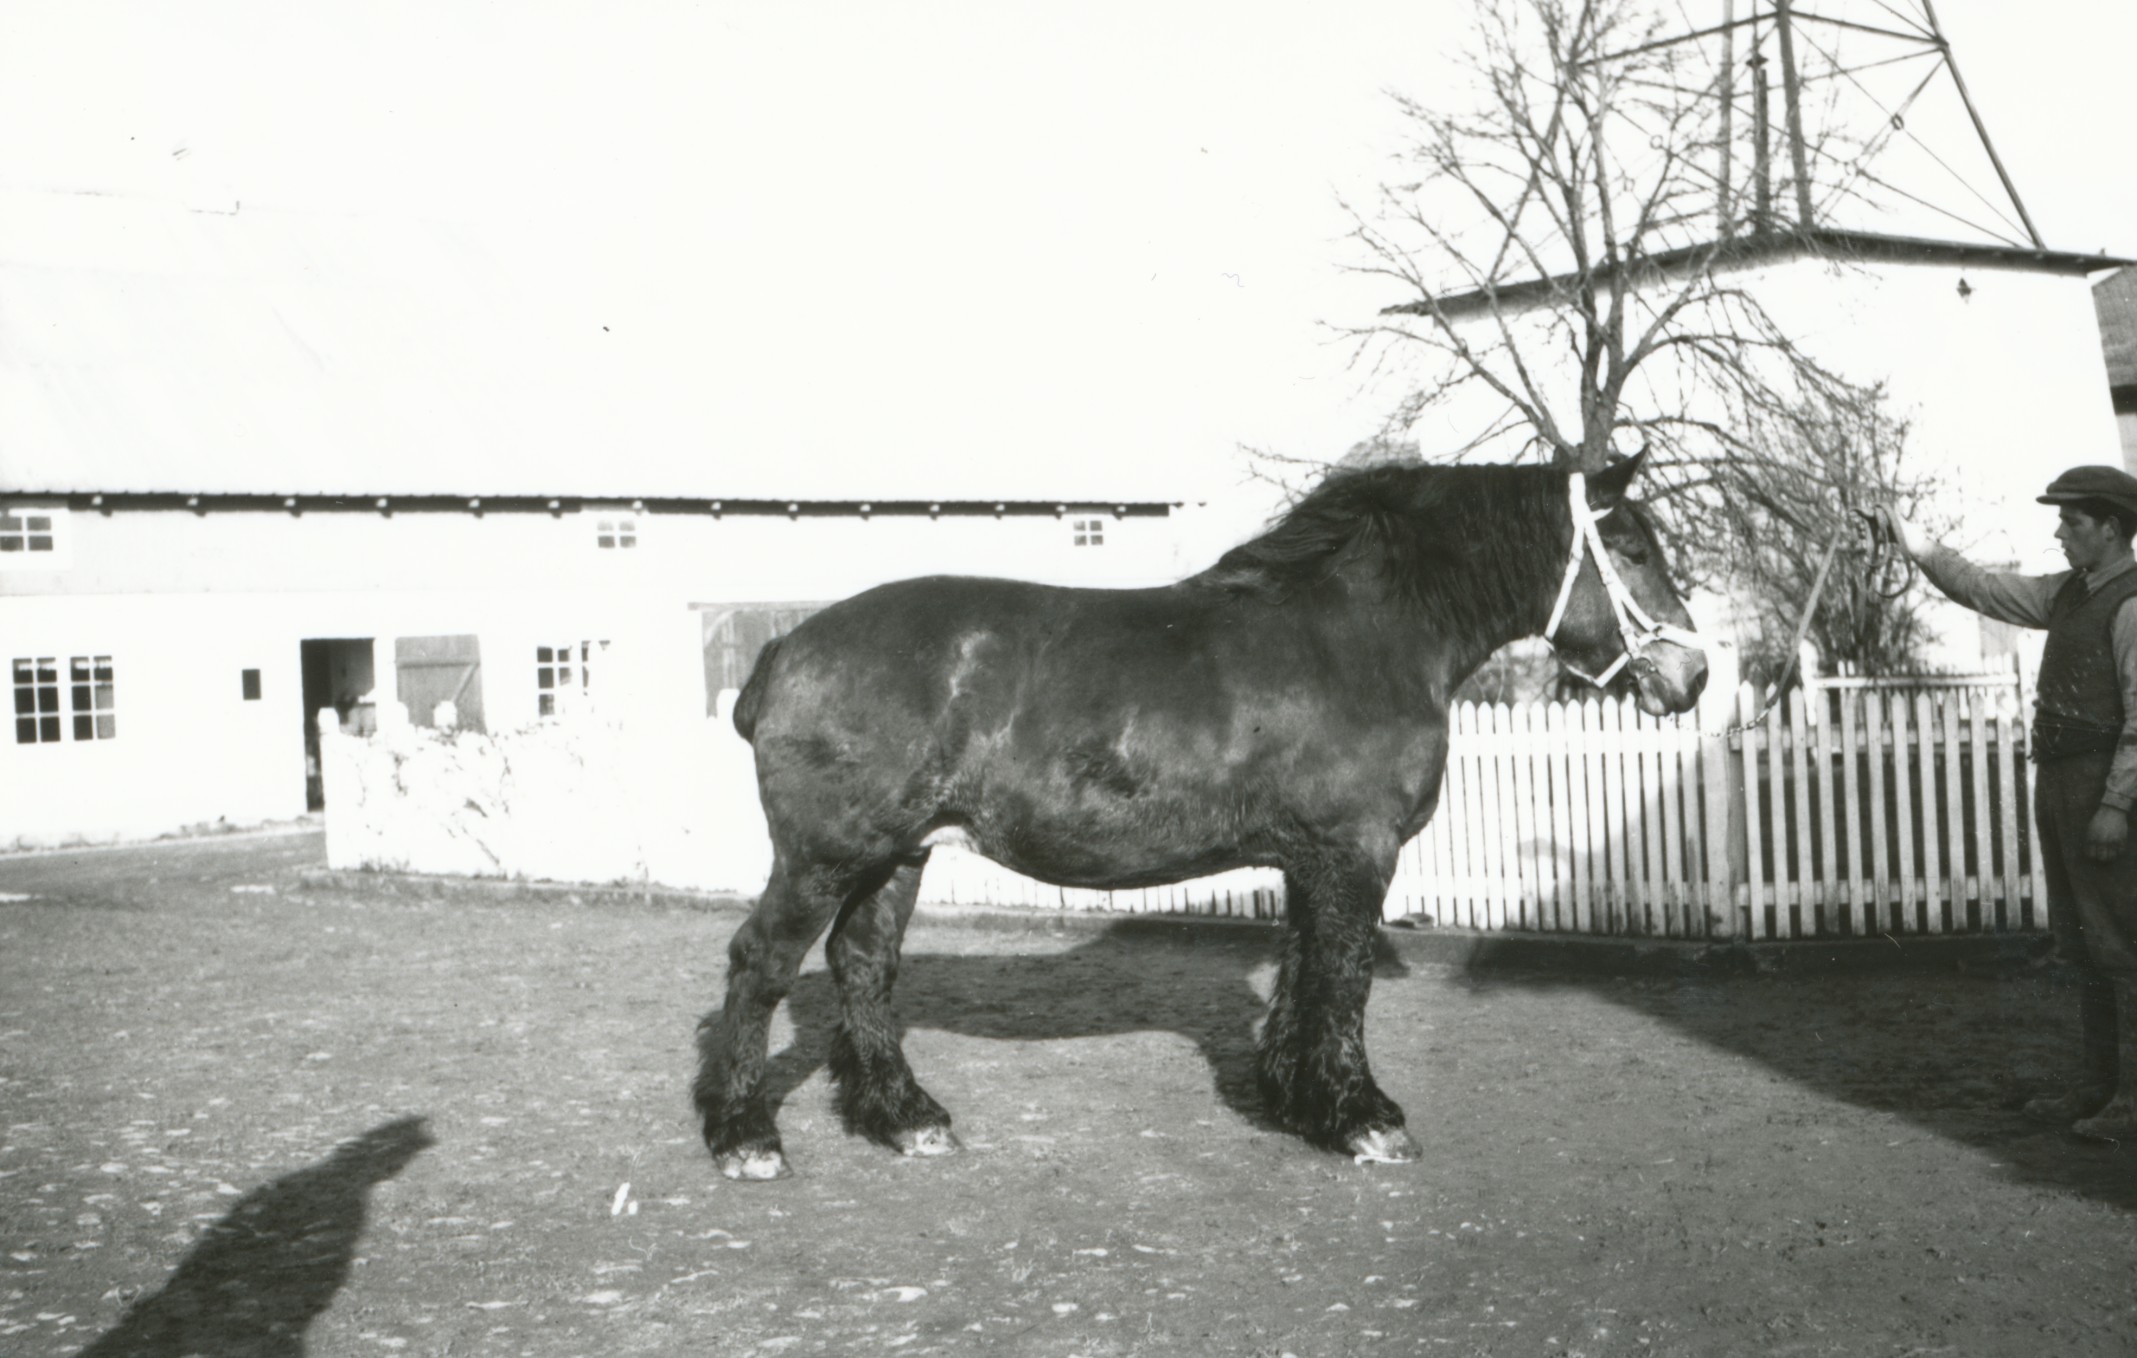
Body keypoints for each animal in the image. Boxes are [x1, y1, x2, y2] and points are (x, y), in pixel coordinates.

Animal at [696, 457, 1701, 1180]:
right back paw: (744, 1137)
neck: (1357, 634)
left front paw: (1298, 1105)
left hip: (893, 856)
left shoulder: (1309, 860)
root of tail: (787, 647)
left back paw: (907, 1121)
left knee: (863, 967)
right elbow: (1343, 982)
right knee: (760, 965)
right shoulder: (1356, 853)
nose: (1692, 674)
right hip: (823, 856)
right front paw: (1364, 1120)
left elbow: (1305, 974)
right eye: (1633, 548)